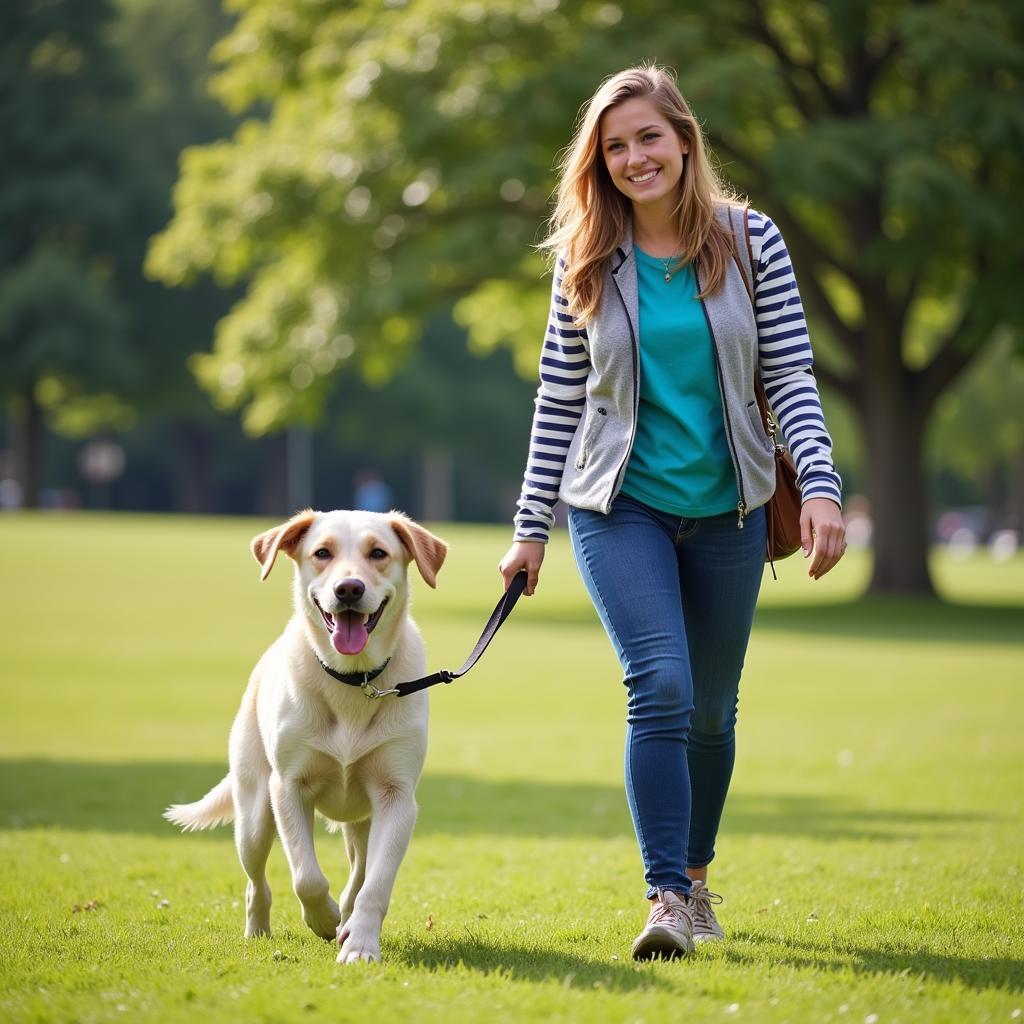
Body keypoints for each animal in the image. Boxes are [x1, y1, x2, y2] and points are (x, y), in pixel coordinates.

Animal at [162, 507, 444, 962]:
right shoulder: (289, 787)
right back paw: (259, 930)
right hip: (254, 813)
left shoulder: (396, 796)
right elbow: (306, 876)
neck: (355, 680)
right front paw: (323, 918)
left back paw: (347, 920)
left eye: (378, 553)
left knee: (359, 871)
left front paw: (359, 944)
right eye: (322, 553)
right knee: (255, 881)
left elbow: (375, 885)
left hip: (362, 820)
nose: (349, 588)